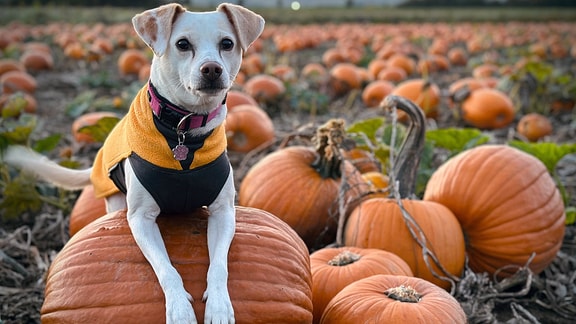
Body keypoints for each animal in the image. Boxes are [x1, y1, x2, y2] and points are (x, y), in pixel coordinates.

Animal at [3, 3, 266, 324]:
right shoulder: (140, 219)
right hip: (115, 202)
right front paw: (179, 308)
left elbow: (219, 266)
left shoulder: (223, 213)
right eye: (182, 44)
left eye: (227, 44)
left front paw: (218, 306)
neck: (183, 130)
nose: (212, 69)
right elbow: (167, 269)